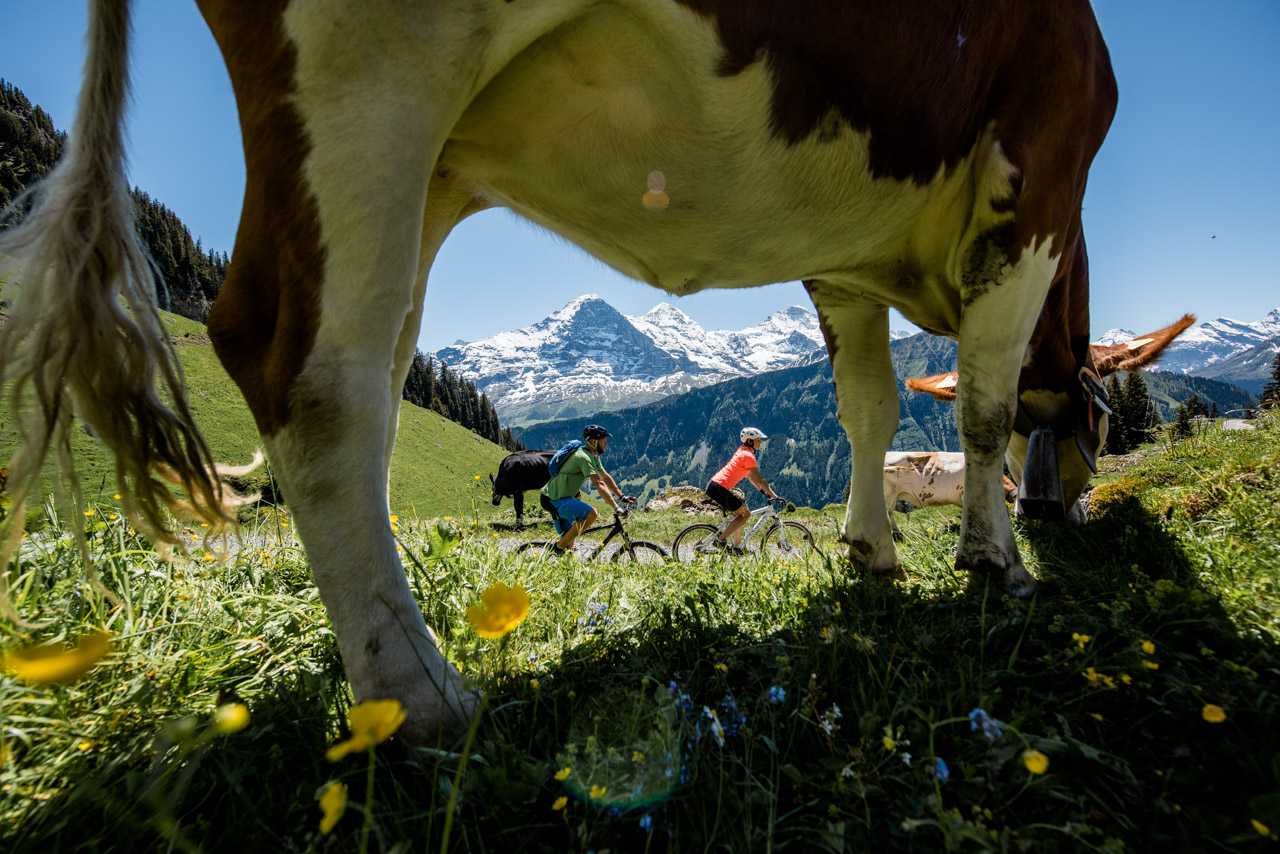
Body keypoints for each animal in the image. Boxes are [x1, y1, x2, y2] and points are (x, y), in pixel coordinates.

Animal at [2, 0, 1177, 737]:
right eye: (1100, 416)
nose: (1068, 511)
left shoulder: (842, 257)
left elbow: (869, 410)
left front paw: (871, 549)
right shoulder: (1036, 173)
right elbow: (976, 401)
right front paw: (994, 562)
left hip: (424, 166)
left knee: (378, 372)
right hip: (365, 67)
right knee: (307, 369)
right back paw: (421, 695)